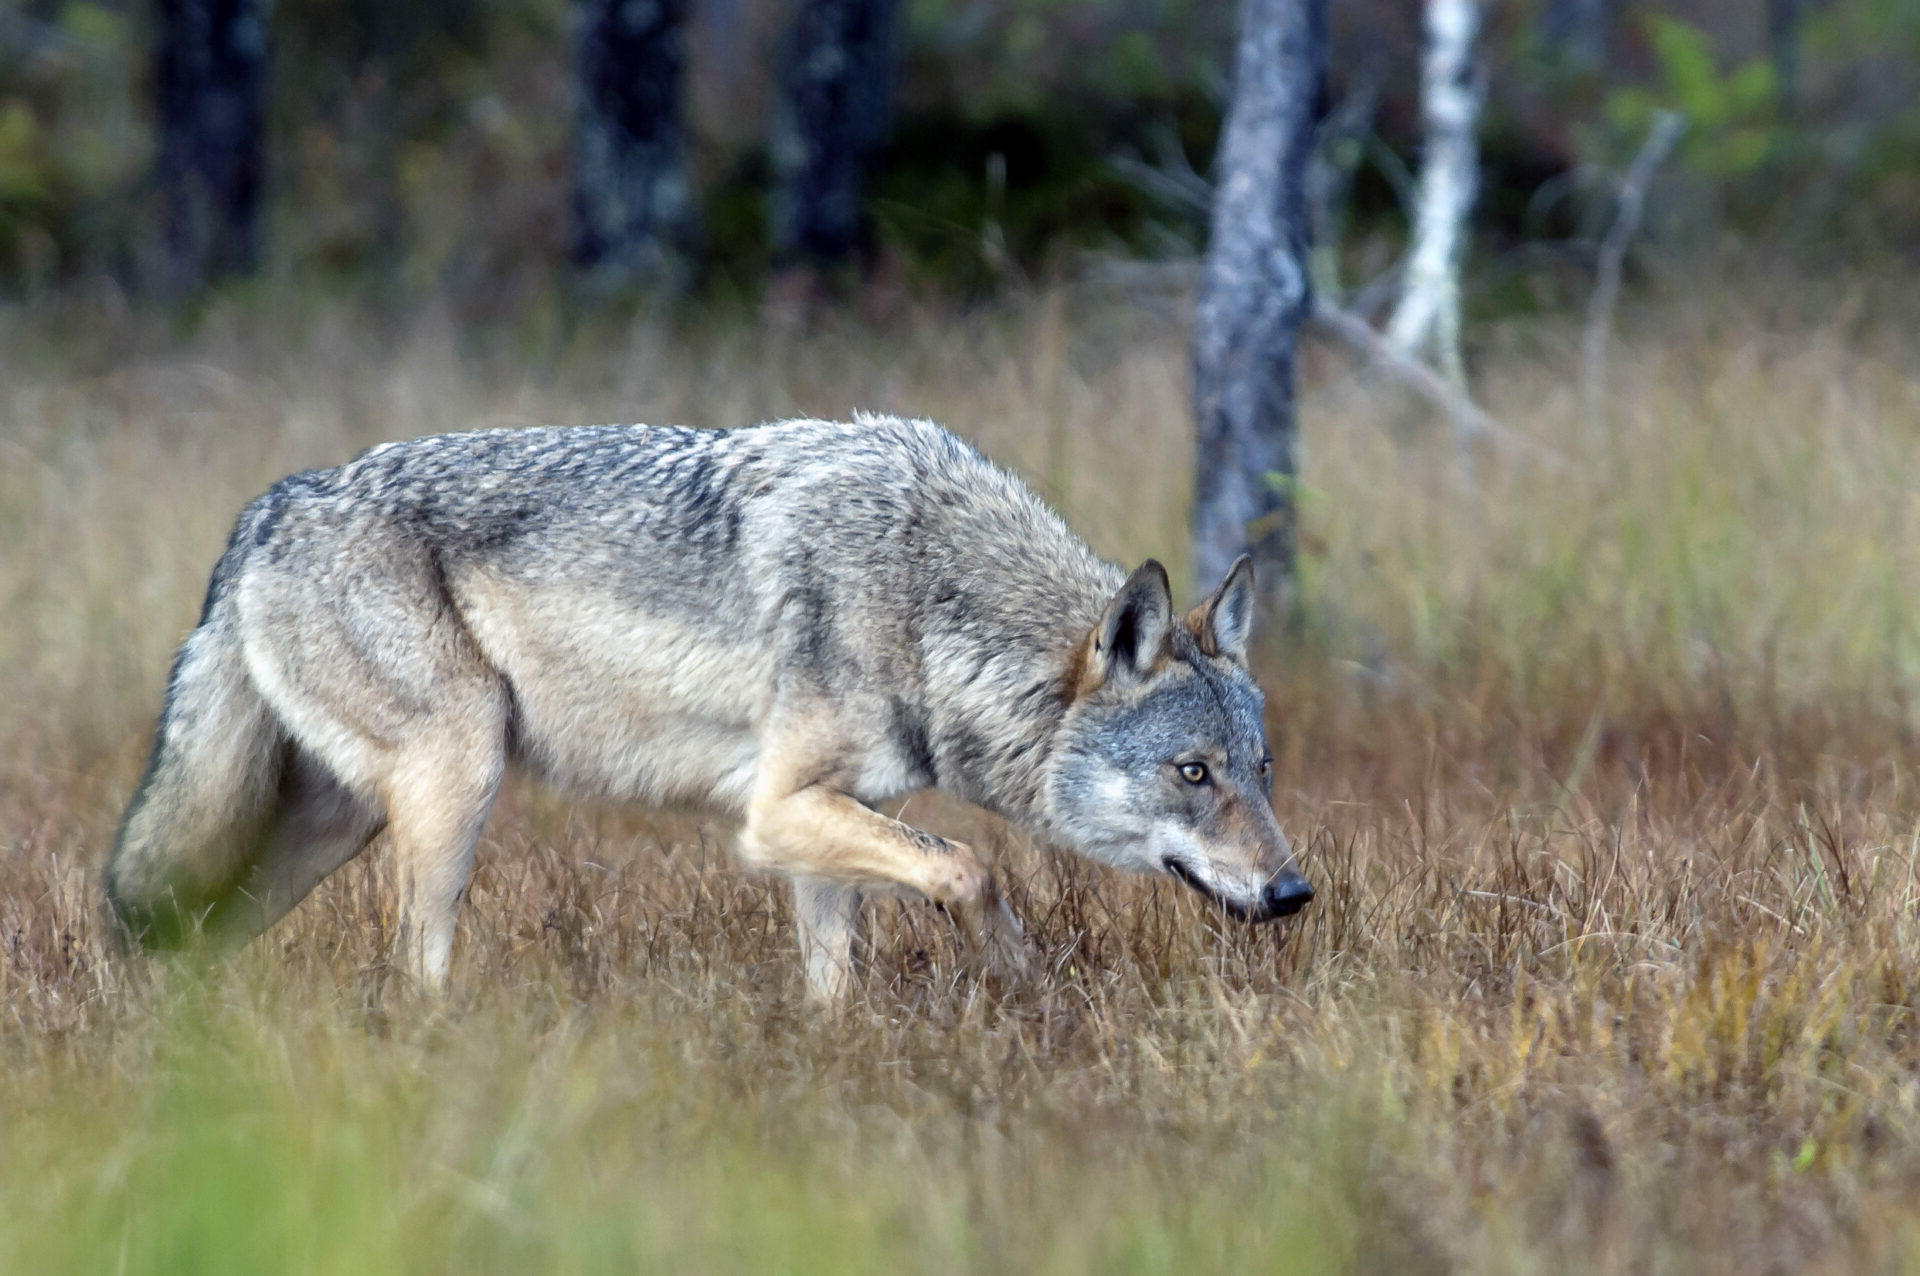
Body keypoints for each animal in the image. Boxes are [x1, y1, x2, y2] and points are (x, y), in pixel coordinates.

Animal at [105, 415, 1313, 998]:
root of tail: (266, 508)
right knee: (411, 968)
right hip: (458, 781)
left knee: (192, 935)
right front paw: (1021, 980)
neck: (926, 594)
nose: (1295, 891)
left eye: (1260, 770)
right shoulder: (774, 815)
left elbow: (837, 978)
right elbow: (971, 866)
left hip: (330, 826)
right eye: (1192, 772)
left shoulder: (826, 827)